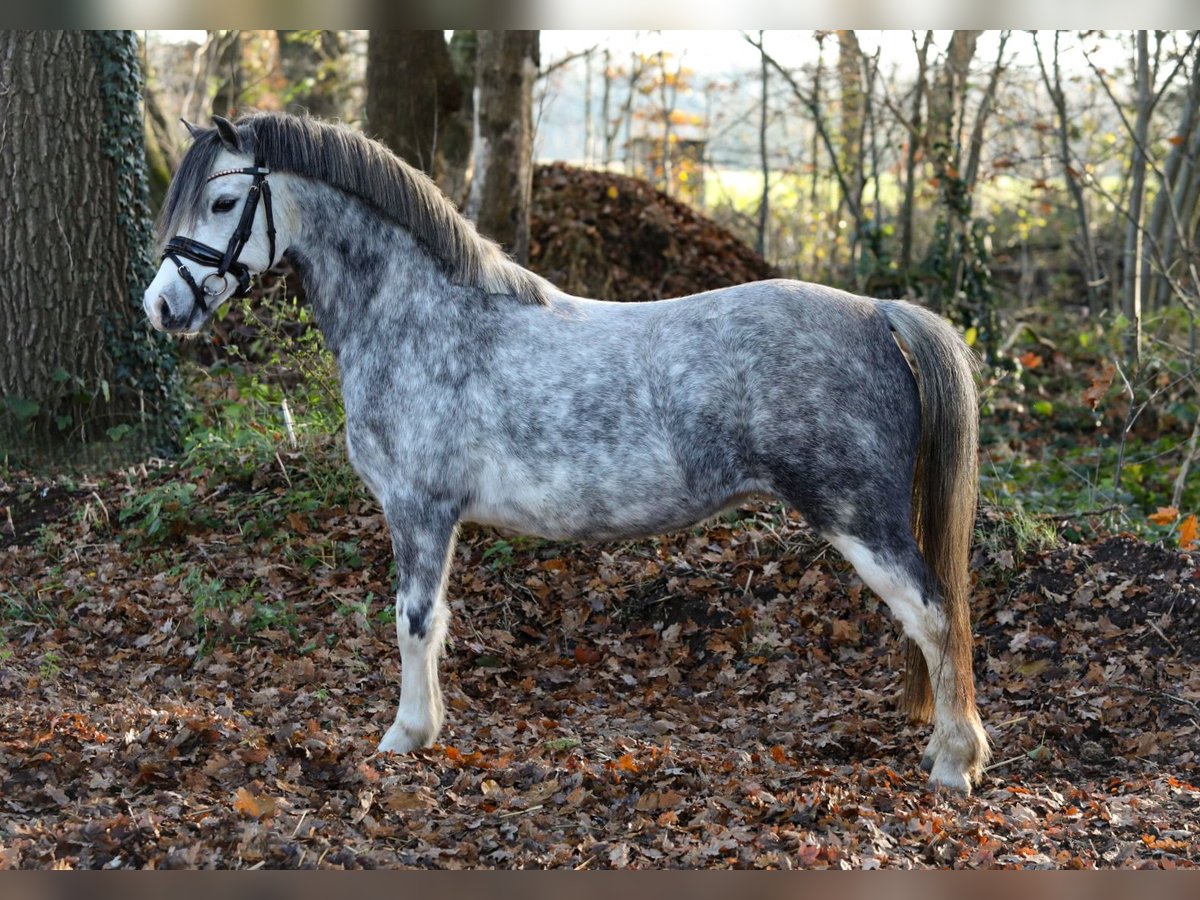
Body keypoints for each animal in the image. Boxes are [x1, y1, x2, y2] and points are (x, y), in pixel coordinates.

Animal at [140, 114, 988, 796]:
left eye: (222, 203)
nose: (161, 307)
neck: (422, 319)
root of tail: (878, 313)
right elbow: (435, 622)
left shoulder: (418, 509)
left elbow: (412, 620)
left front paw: (406, 735)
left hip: (862, 521)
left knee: (936, 615)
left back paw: (955, 762)